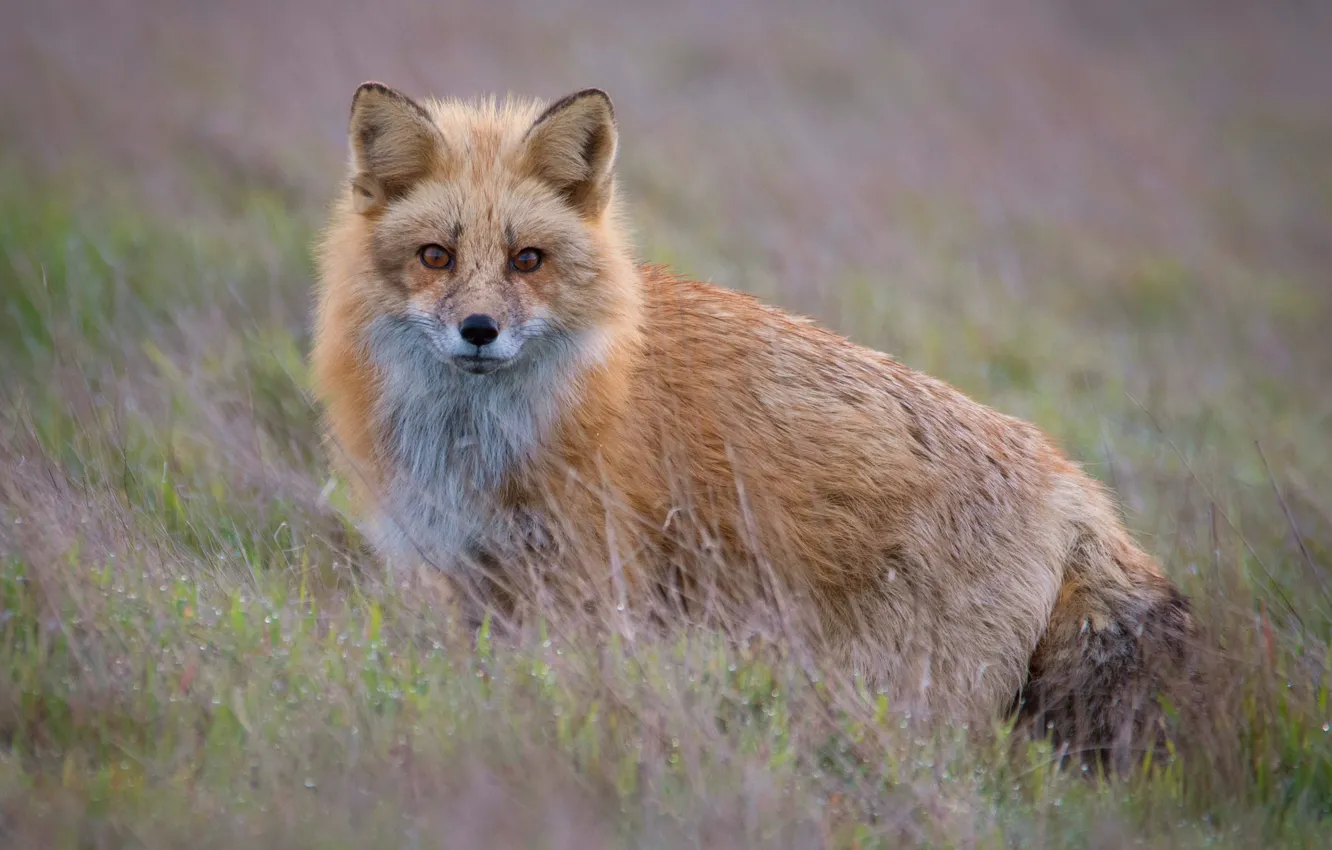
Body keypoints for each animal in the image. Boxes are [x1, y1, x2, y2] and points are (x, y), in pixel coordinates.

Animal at [310, 82, 1198, 766]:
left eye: (527, 260)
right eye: (436, 256)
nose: (480, 330)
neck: (484, 440)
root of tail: (1072, 481)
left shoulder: (588, 586)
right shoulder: (478, 577)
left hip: (910, 697)